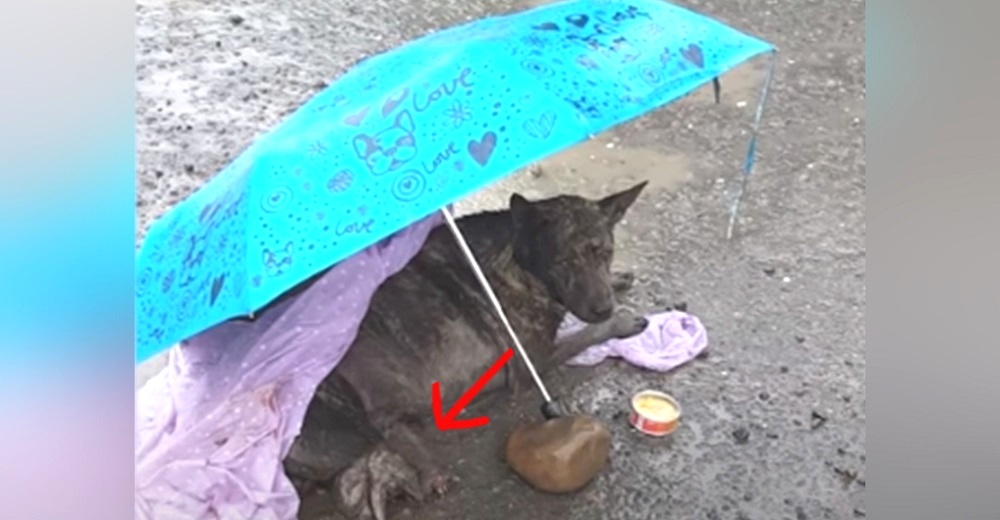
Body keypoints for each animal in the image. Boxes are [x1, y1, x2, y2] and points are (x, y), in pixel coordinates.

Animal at [288, 181, 648, 516]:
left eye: (605, 253)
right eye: (563, 261)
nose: (603, 308)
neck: (515, 257)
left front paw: (617, 281)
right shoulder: (532, 360)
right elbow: (587, 334)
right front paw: (621, 321)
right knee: (383, 437)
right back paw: (429, 471)